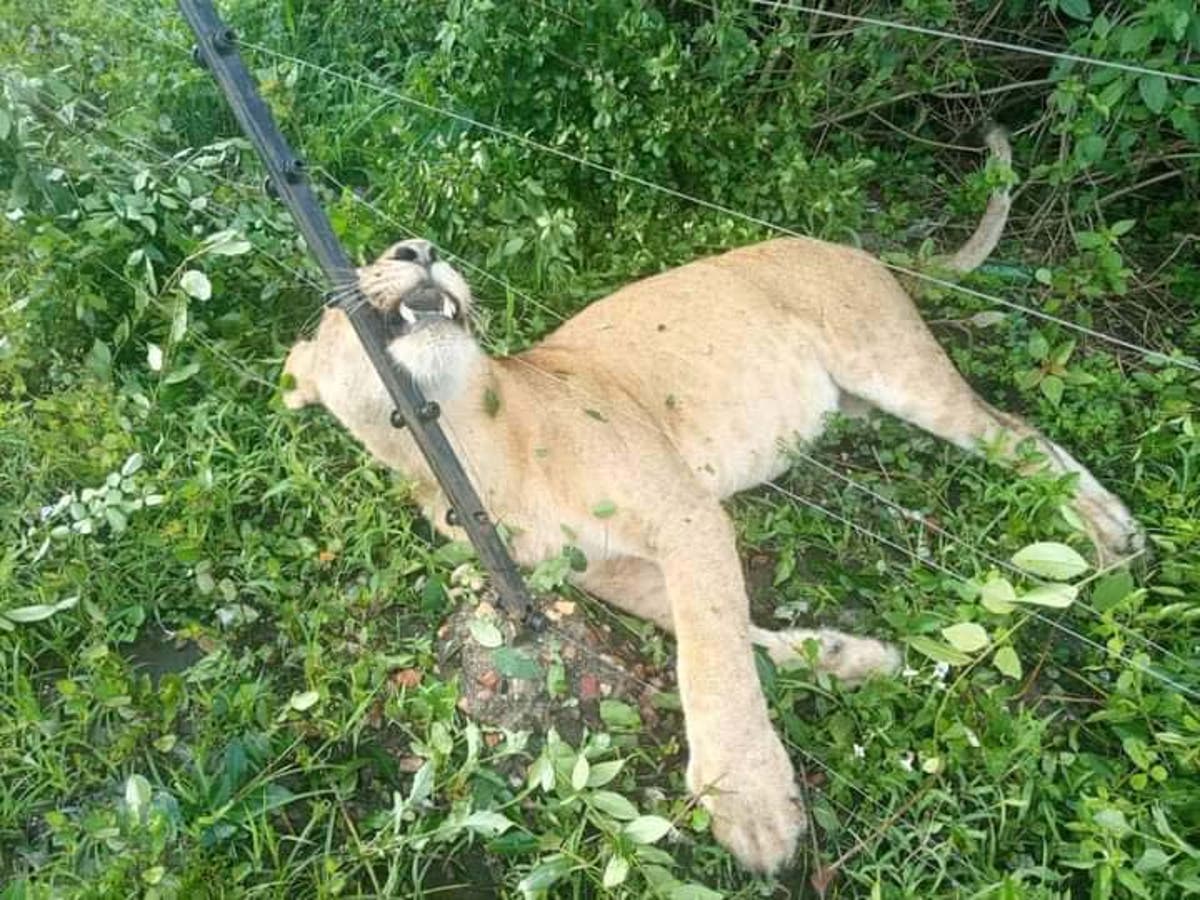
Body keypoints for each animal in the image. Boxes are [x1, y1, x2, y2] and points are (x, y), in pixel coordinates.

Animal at [282, 128, 1142, 873]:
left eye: (395, 256)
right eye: (334, 300)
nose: (419, 251)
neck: (464, 448)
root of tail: (843, 243)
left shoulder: (686, 514)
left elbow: (709, 648)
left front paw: (749, 798)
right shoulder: (601, 573)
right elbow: (716, 627)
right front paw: (849, 660)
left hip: (896, 366)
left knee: (1018, 435)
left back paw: (1113, 537)